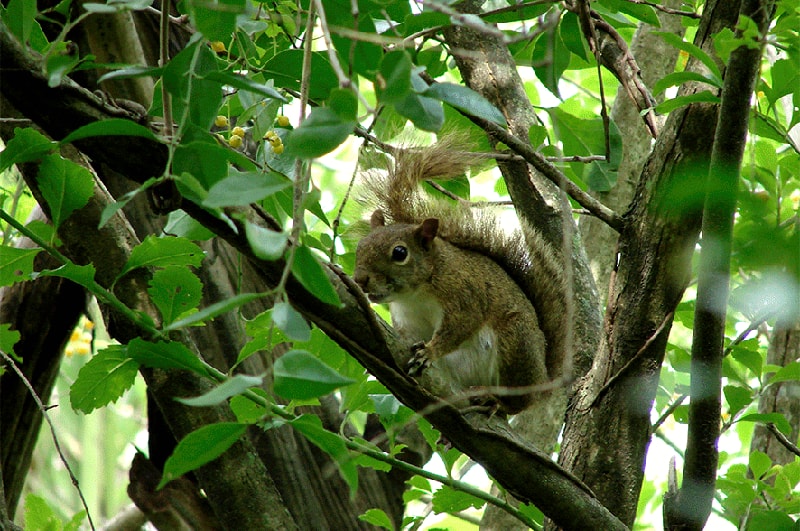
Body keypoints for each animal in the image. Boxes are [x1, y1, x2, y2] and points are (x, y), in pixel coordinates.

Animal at [352, 135, 568, 414]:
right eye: (361, 246)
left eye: (399, 253)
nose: (360, 279)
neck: (416, 295)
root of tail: (542, 380)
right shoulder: (406, 323)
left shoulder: (465, 294)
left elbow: (460, 326)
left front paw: (430, 352)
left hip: (516, 342)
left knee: (517, 403)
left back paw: (495, 400)